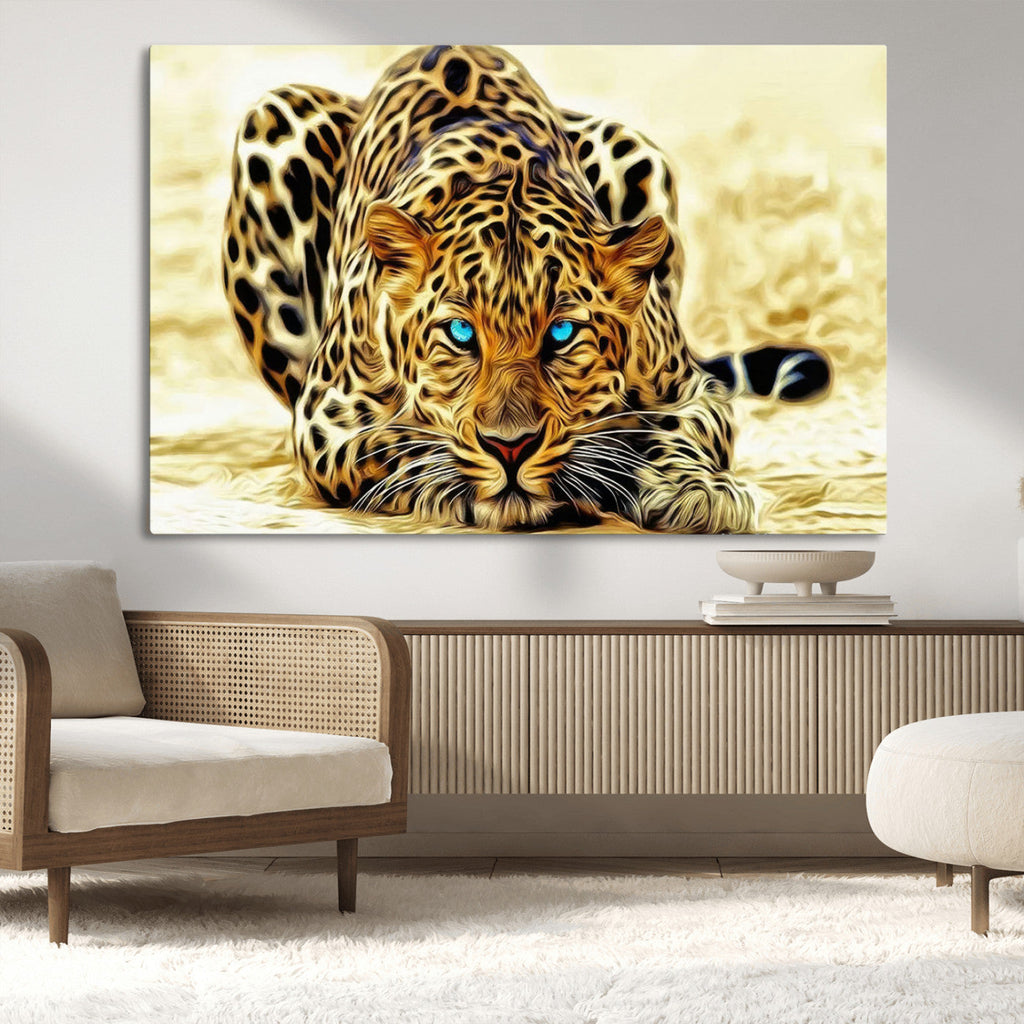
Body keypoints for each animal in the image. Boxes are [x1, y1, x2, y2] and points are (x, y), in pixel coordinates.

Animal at [222, 44, 830, 532]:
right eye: (460, 333)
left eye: (562, 334)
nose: (510, 447)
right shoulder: (327, 415)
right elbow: (395, 444)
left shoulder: (689, 389)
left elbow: (681, 430)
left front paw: (697, 490)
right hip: (275, 119)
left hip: (634, 148)